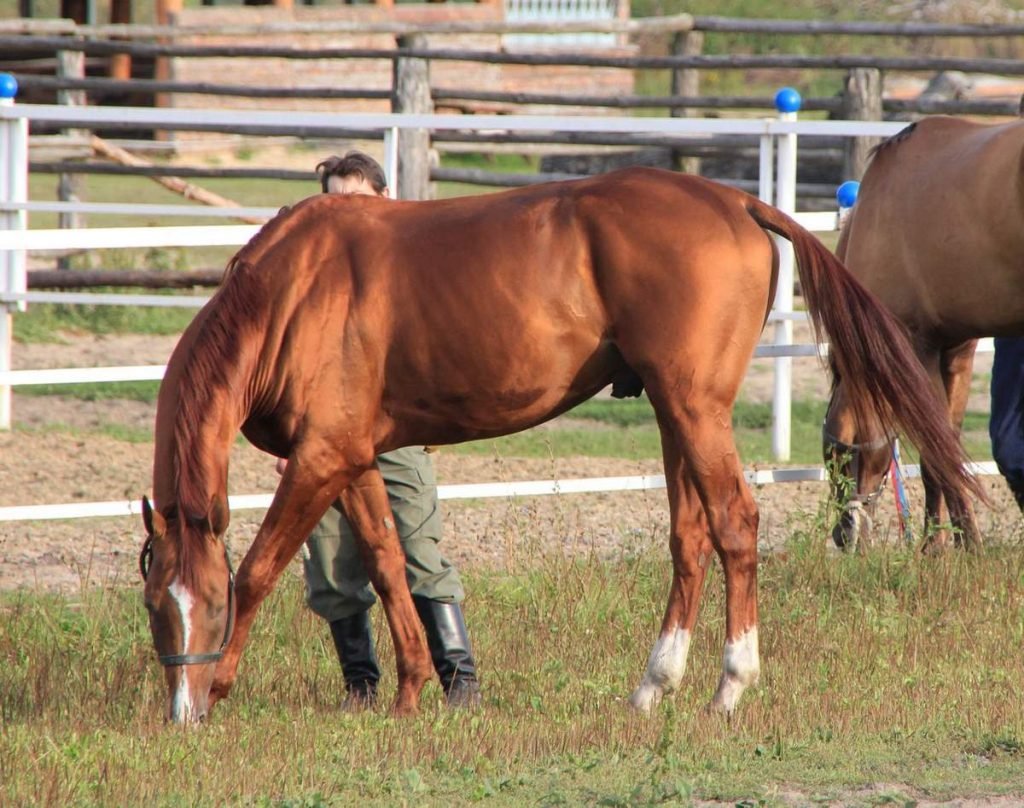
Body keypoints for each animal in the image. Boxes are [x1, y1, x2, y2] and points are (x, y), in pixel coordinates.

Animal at [823, 116, 1024, 548]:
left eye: (839, 454)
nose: (844, 534)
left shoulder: (918, 348)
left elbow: (938, 452)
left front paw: (967, 545)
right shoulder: (957, 352)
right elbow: (944, 449)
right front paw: (936, 545)